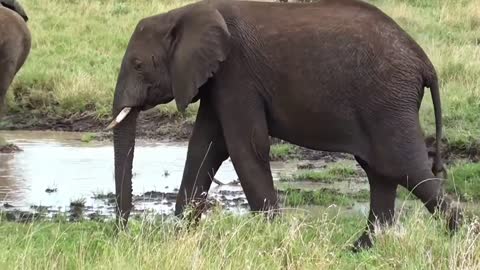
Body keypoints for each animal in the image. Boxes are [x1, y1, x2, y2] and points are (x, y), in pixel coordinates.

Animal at [108, 0, 462, 251]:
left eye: (137, 65)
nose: (122, 232)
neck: (181, 13)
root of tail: (424, 62)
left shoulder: (236, 74)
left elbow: (245, 147)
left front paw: (274, 241)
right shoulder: (216, 79)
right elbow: (204, 147)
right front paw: (181, 238)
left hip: (388, 102)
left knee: (406, 169)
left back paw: (458, 236)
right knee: (382, 173)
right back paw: (357, 251)